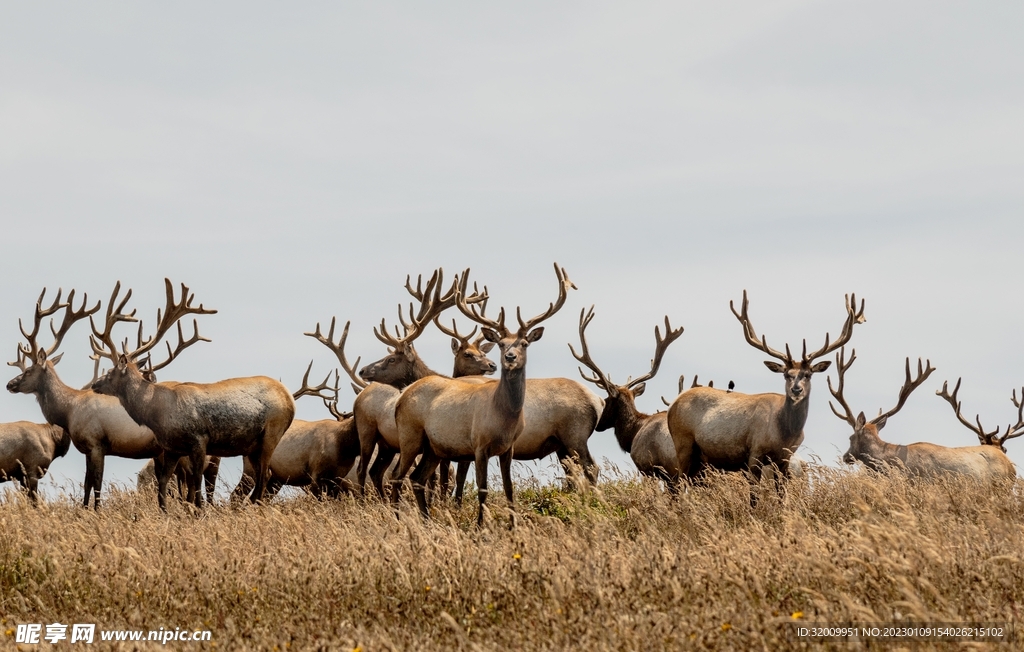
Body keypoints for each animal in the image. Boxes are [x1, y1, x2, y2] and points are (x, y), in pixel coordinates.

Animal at [6, 288, 166, 509]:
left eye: (28, 370)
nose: (9, 384)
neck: (69, 410)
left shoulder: (96, 443)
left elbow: (97, 482)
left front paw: (97, 511)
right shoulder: (88, 450)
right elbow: (87, 483)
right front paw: (84, 509)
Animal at [90, 279, 295, 510]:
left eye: (110, 372)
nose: (95, 384)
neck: (157, 413)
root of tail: (290, 398)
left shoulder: (199, 439)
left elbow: (195, 482)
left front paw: (198, 511)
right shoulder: (172, 448)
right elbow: (164, 482)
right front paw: (165, 511)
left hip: (272, 432)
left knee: (263, 476)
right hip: (252, 445)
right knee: (263, 475)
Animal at [304, 269, 491, 498]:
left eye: (392, 359)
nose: (363, 370)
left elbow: (441, 478)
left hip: (384, 443)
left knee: (373, 471)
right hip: (372, 436)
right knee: (367, 470)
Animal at [392, 263, 576, 525]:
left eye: (524, 344)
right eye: (501, 344)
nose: (510, 357)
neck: (503, 418)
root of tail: (401, 398)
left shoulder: (508, 448)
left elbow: (509, 488)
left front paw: (513, 526)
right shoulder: (479, 444)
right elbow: (483, 488)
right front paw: (481, 526)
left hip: (433, 446)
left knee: (416, 478)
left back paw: (427, 520)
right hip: (409, 434)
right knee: (398, 477)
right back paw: (397, 520)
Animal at [667, 290, 866, 495]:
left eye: (808, 374)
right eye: (786, 374)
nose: (796, 389)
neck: (784, 434)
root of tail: (673, 404)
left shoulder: (784, 459)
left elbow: (781, 494)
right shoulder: (755, 452)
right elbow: (754, 494)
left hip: (701, 458)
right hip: (683, 443)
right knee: (678, 484)